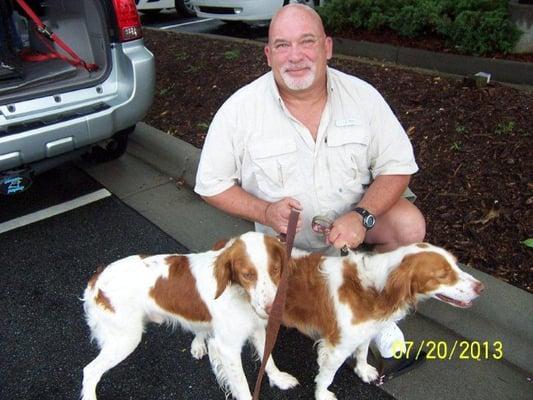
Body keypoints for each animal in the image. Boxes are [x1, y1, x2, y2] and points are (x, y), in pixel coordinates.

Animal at [82, 230, 300, 400]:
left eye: (275, 269)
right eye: (247, 275)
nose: (273, 308)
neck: (239, 293)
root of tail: (97, 278)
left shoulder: (256, 328)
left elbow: (267, 359)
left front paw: (279, 379)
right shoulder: (228, 348)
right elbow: (242, 386)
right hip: (125, 339)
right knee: (90, 371)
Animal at [280, 242, 484, 398]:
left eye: (456, 265)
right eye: (442, 275)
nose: (481, 287)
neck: (373, 289)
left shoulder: (366, 331)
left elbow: (362, 352)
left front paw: (363, 370)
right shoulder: (337, 348)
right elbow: (326, 376)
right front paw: (322, 394)